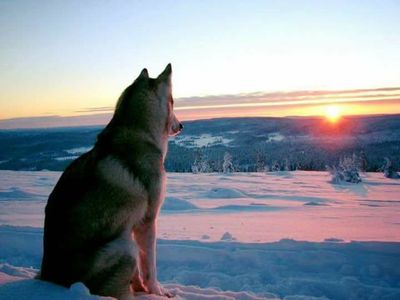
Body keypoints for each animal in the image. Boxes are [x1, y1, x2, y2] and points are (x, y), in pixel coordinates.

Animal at [39, 64, 183, 298]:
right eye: (173, 101)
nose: (182, 125)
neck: (140, 133)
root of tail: (50, 277)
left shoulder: (131, 225)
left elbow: (140, 272)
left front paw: (141, 287)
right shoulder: (147, 221)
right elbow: (150, 267)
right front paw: (157, 291)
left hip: (125, 241)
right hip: (125, 246)